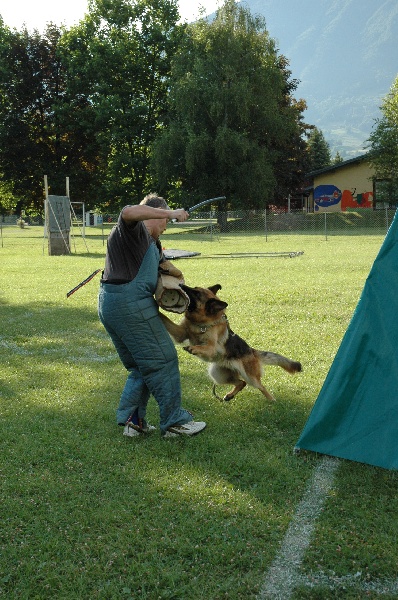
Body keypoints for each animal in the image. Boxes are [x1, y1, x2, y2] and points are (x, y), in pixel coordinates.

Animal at [159, 284, 302, 400]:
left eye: (196, 294)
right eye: (194, 288)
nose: (181, 285)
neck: (202, 324)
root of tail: (252, 351)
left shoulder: (211, 348)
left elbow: (203, 347)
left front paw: (193, 348)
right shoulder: (180, 333)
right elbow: (165, 319)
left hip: (250, 377)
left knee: (260, 386)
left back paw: (272, 400)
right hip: (217, 374)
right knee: (241, 383)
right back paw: (230, 395)